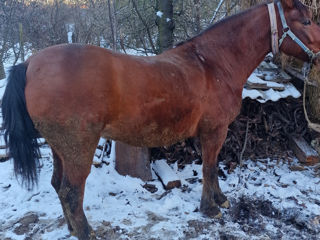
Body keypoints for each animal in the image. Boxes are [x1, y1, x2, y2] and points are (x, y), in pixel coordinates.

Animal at [2, 0, 320, 239]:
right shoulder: (214, 130)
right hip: (79, 147)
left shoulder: (213, 132)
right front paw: (210, 208)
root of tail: (30, 63)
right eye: (306, 21)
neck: (213, 63)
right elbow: (209, 168)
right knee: (70, 191)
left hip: (61, 148)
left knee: (58, 184)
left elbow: (213, 166)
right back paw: (86, 233)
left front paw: (220, 199)